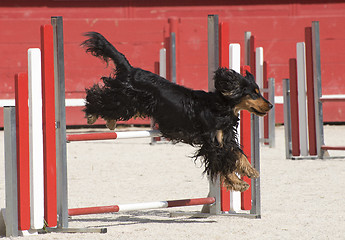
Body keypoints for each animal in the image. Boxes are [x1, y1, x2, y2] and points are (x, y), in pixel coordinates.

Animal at [81, 32, 272, 192]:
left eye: (259, 92)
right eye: (254, 94)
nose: (270, 106)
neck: (221, 107)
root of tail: (131, 69)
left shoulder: (224, 138)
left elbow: (236, 153)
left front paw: (250, 170)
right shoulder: (210, 142)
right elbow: (222, 162)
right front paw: (237, 182)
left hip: (129, 104)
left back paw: (110, 121)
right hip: (125, 99)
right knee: (97, 97)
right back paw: (91, 114)